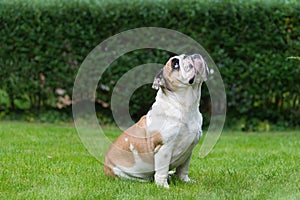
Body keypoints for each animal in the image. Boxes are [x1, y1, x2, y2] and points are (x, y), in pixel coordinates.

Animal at [104, 54, 210, 188]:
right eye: (175, 64)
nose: (190, 55)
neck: (185, 106)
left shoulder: (189, 150)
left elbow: (183, 169)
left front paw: (185, 180)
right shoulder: (164, 148)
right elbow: (162, 170)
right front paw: (163, 186)